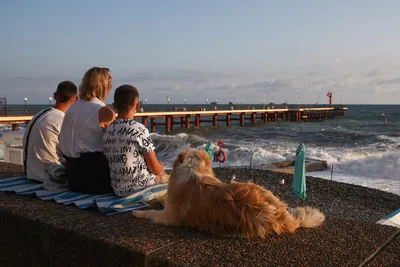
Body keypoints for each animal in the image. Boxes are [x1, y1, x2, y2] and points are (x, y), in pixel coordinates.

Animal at [132, 149, 324, 239]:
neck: (193, 169)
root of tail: (280, 218)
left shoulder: (169, 216)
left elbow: (151, 212)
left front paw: (138, 212)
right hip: (259, 188)